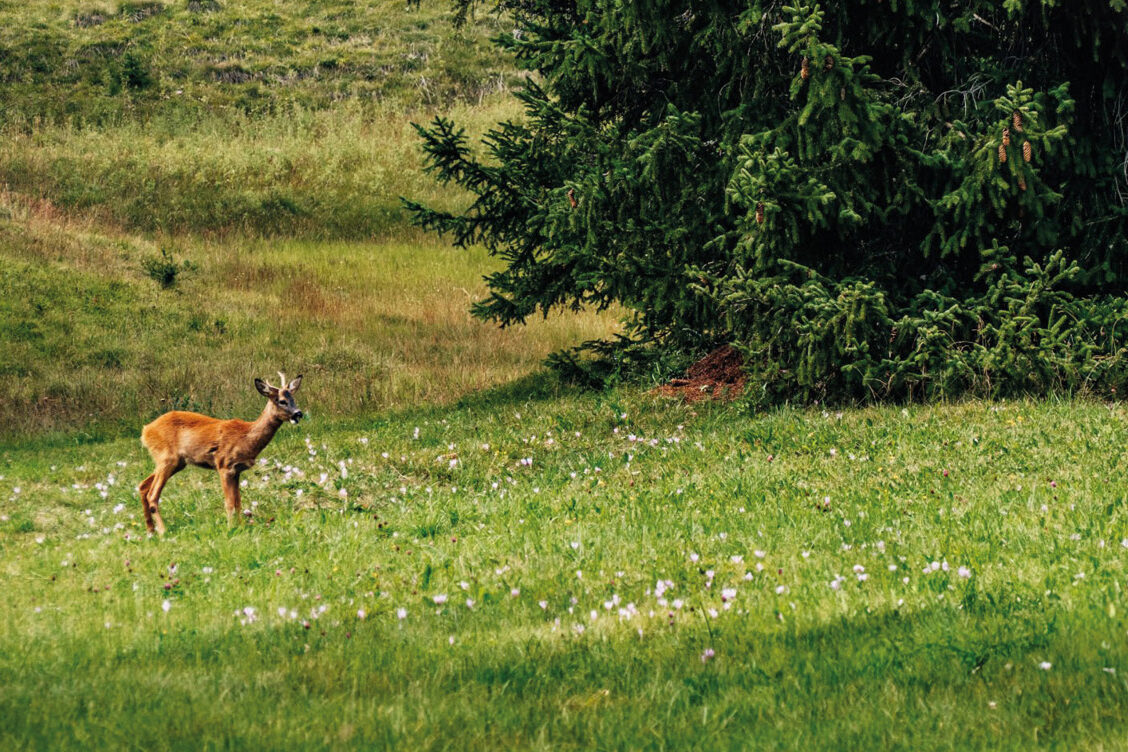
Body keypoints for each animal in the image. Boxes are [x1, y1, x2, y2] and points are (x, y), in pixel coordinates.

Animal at [138, 372, 304, 535]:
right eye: (281, 401)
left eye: (293, 399)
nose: (298, 413)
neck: (246, 437)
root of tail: (146, 431)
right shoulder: (224, 465)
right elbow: (229, 503)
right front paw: (230, 529)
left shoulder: (237, 470)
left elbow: (238, 502)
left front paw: (241, 527)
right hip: (167, 458)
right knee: (152, 494)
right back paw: (163, 531)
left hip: (175, 462)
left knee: (143, 486)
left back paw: (150, 531)